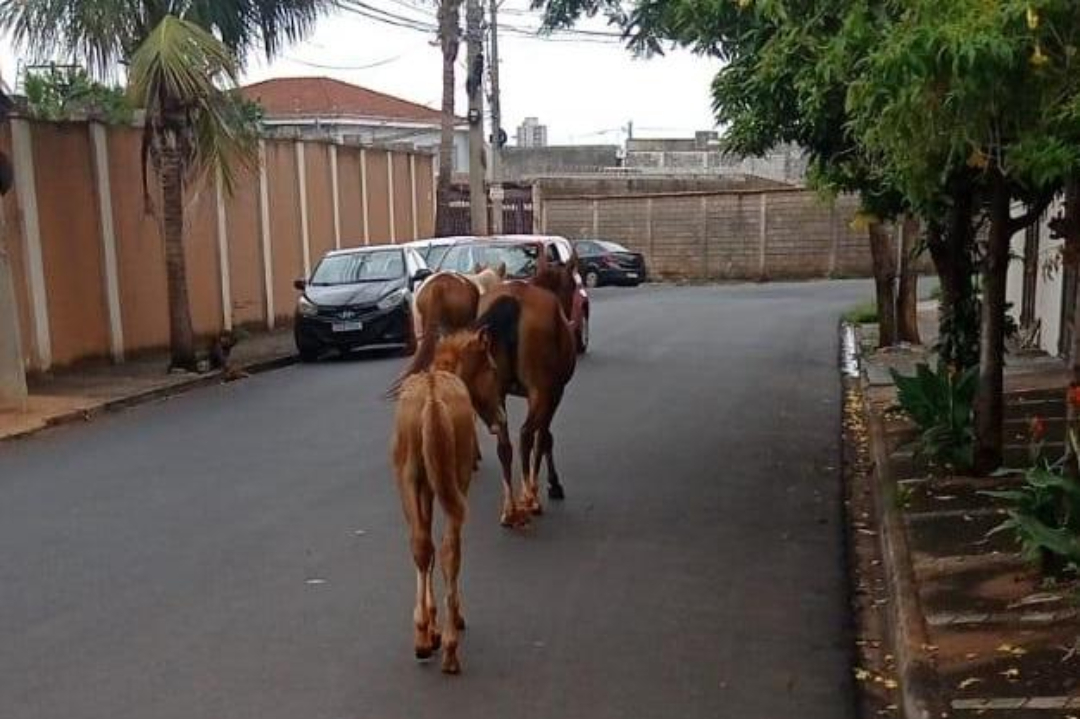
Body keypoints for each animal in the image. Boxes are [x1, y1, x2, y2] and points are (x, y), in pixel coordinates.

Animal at [393, 328, 501, 673]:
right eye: (492, 367)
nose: (500, 418)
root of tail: (432, 397)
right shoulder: (456, 483)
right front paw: (445, 627)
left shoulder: (426, 487)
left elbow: (425, 546)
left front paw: (431, 629)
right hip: (455, 483)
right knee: (449, 549)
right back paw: (451, 647)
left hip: (409, 480)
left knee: (421, 545)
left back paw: (422, 637)